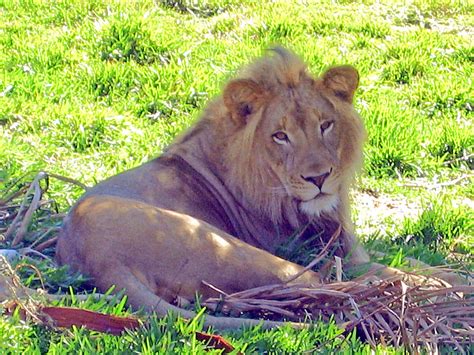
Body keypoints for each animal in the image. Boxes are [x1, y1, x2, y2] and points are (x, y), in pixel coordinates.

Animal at [56, 47, 448, 330]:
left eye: (326, 125)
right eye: (280, 136)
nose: (319, 178)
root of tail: (97, 258)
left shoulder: (352, 249)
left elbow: (420, 262)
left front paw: (444, 272)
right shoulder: (319, 252)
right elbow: (387, 271)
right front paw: (439, 285)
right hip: (227, 246)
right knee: (325, 283)